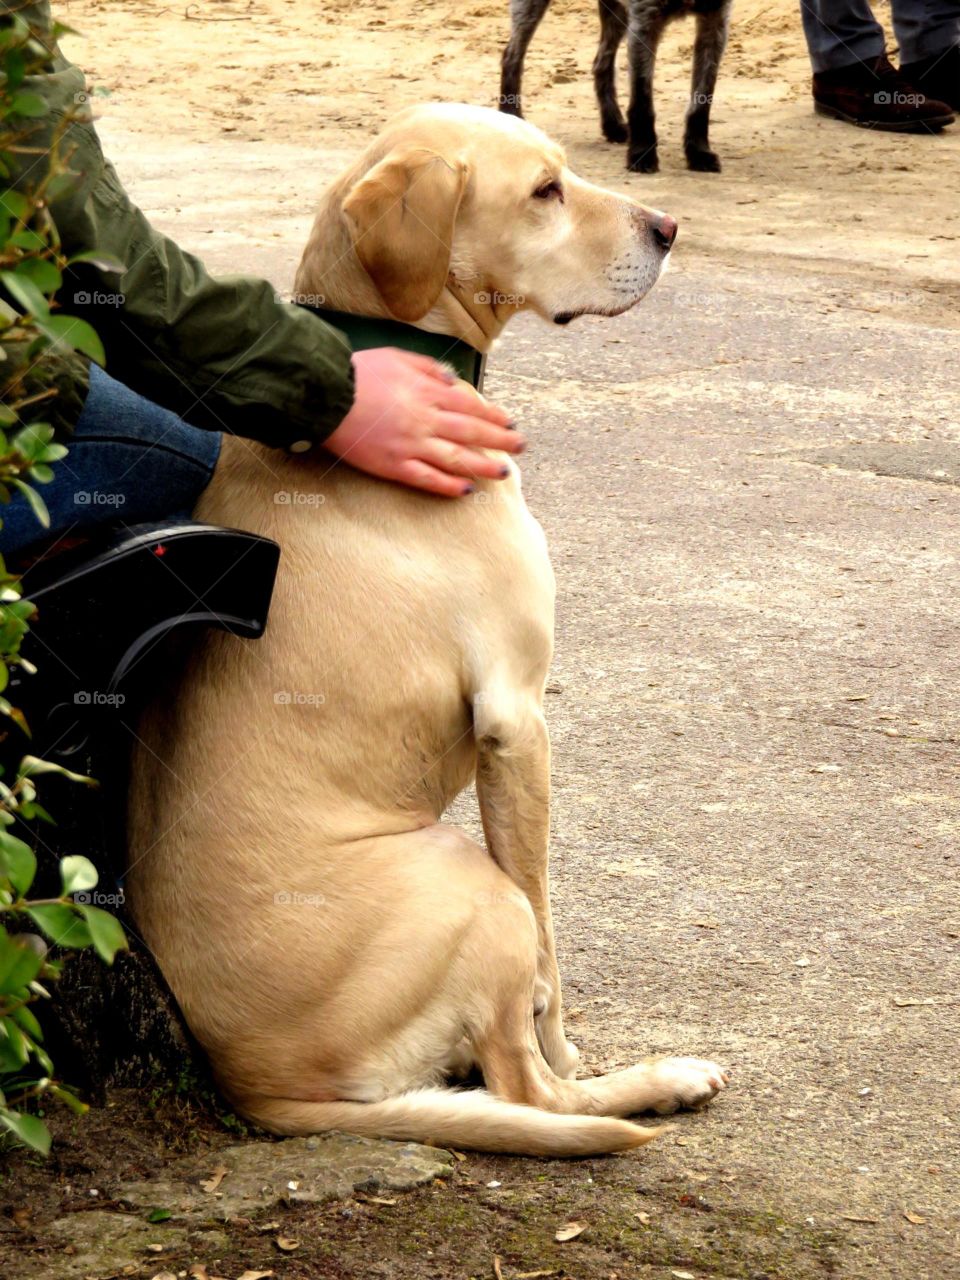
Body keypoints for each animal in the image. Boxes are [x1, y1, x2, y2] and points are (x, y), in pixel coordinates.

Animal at [128, 102, 727, 1162]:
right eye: (545, 191)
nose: (669, 227)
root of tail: (259, 1090)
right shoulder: (517, 721)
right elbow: (552, 956)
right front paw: (580, 1043)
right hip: (467, 879)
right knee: (529, 1088)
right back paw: (653, 1085)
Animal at [504, 0, 727, 172]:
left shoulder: (715, 23)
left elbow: (702, 100)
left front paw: (699, 153)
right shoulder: (644, 22)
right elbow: (642, 100)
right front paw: (642, 152)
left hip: (617, 13)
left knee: (601, 63)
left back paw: (612, 125)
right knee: (511, 56)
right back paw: (510, 114)